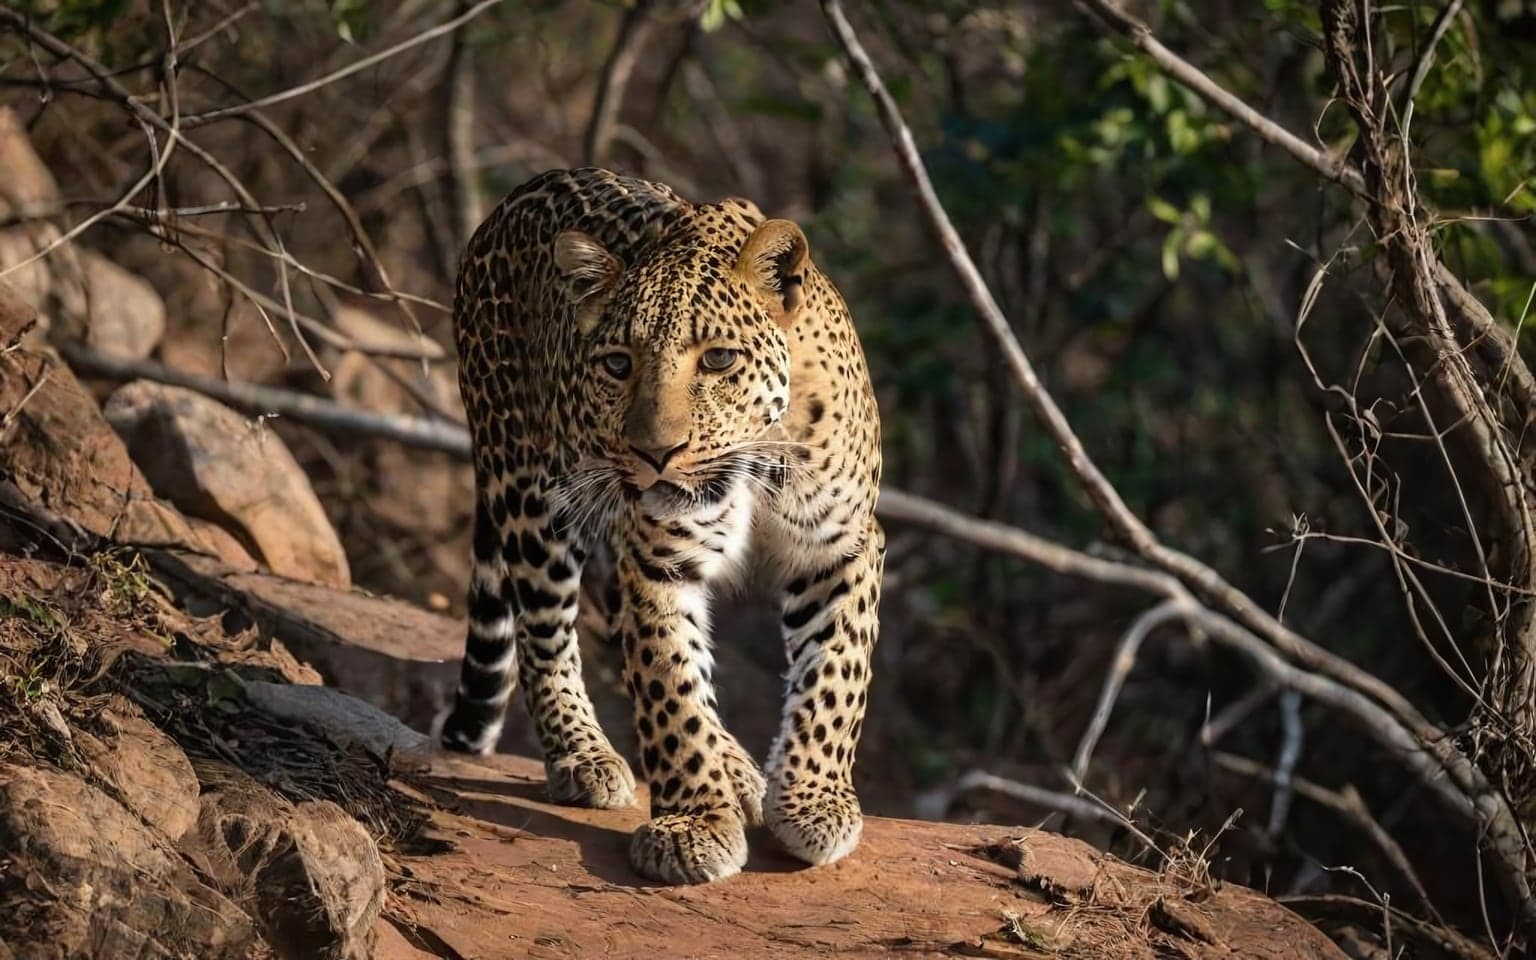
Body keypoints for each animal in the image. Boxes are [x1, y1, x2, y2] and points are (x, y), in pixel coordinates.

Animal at [439, 167, 883, 885]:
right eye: (618, 364)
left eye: (719, 360)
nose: (655, 453)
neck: (753, 461)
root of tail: (513, 199)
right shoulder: (656, 557)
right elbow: (669, 685)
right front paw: (693, 824)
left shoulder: (841, 547)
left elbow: (836, 676)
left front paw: (813, 800)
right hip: (530, 489)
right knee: (544, 635)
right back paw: (585, 756)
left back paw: (740, 770)